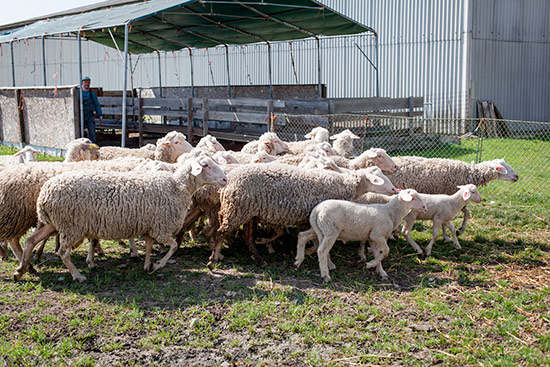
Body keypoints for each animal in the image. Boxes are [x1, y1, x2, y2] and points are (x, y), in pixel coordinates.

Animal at [16, 157, 229, 284]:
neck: (177, 187)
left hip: (54, 222)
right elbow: (174, 246)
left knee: (30, 241)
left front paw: (147, 265)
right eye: (206, 165)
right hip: (71, 225)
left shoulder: (149, 226)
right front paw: (158, 265)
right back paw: (77, 275)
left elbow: (149, 247)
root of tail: (44, 194)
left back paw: (21, 269)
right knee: (62, 252)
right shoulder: (160, 227)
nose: (225, 179)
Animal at [296, 190, 430, 282]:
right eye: (413, 198)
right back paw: (325, 274)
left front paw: (380, 270)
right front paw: (370, 265)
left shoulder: (372, 238)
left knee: (302, 236)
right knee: (322, 250)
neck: (391, 213)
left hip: (320, 229)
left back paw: (299, 260)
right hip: (330, 230)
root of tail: (316, 210)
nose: (425, 208)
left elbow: (378, 253)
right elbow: (386, 251)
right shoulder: (378, 235)